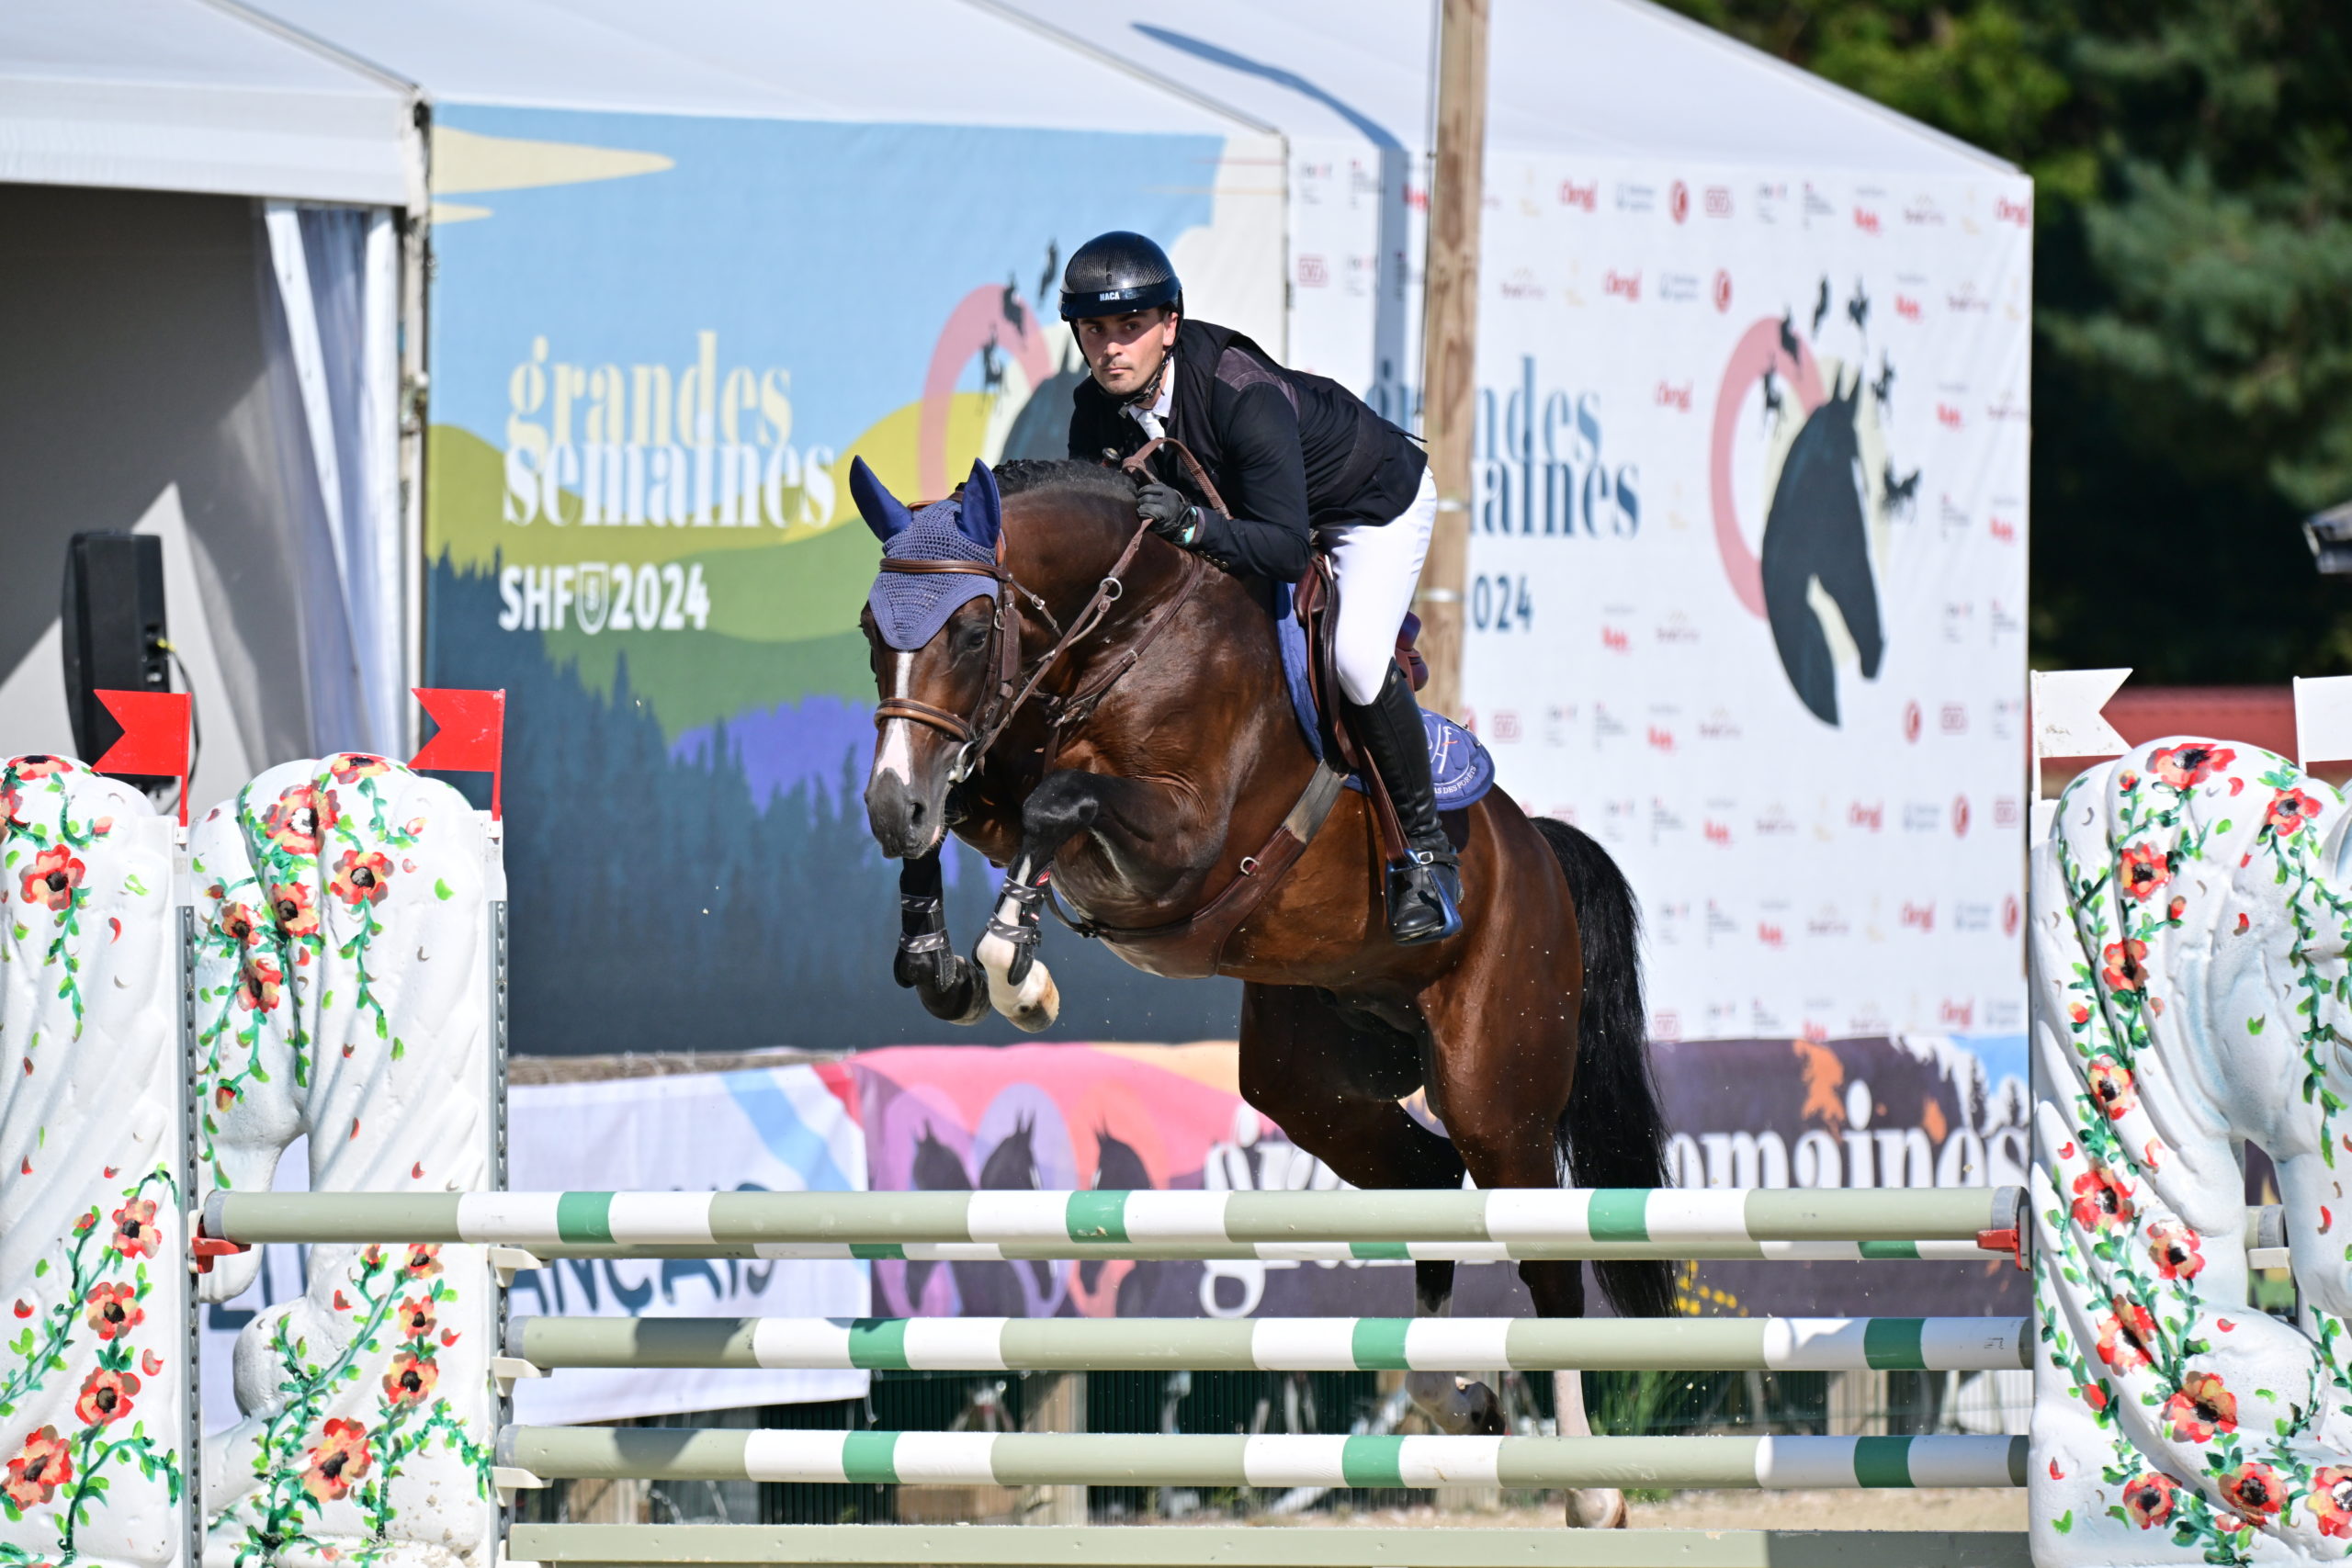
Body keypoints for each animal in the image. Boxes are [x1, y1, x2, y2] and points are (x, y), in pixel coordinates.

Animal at [855, 451, 1665, 1523]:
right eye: (872, 632)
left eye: (974, 630)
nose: (884, 808)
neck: (1123, 632)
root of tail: (1540, 852)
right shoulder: (992, 761)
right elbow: (969, 802)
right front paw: (939, 962)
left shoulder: (1183, 836)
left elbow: (1055, 802)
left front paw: (1014, 968)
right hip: (1309, 1073)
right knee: (1426, 1175)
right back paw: (1457, 1396)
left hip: (1497, 1087)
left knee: (1544, 1253)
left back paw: (1588, 1490)